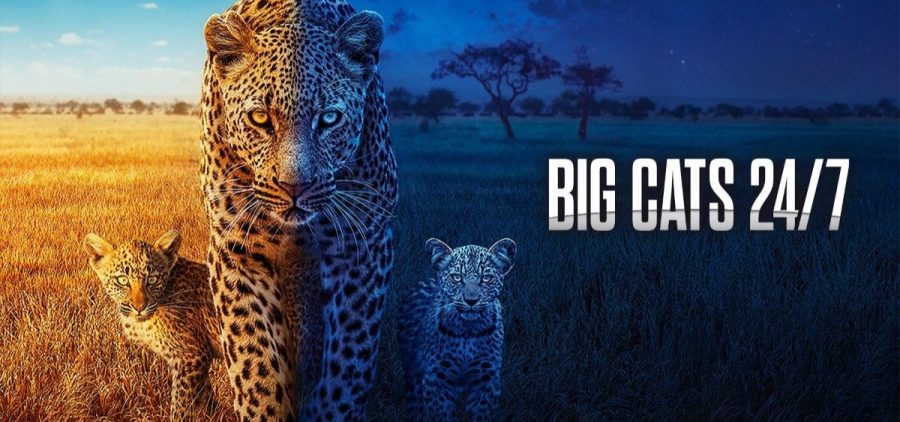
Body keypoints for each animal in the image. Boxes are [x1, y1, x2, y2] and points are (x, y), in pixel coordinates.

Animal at [82, 230, 222, 420]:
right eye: (122, 280)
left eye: (153, 279)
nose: (139, 307)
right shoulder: (199, 359)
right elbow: (206, 398)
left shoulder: (191, 355)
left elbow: (181, 405)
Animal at [198, 0, 397, 420]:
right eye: (260, 118)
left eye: (329, 118)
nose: (295, 187)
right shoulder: (237, 251)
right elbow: (255, 360)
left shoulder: (364, 245)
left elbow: (350, 359)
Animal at [398, 238, 517, 422]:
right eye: (456, 277)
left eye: (486, 278)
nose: (471, 301)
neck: (467, 331)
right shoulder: (437, 377)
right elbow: (440, 414)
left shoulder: (486, 378)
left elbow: (481, 414)